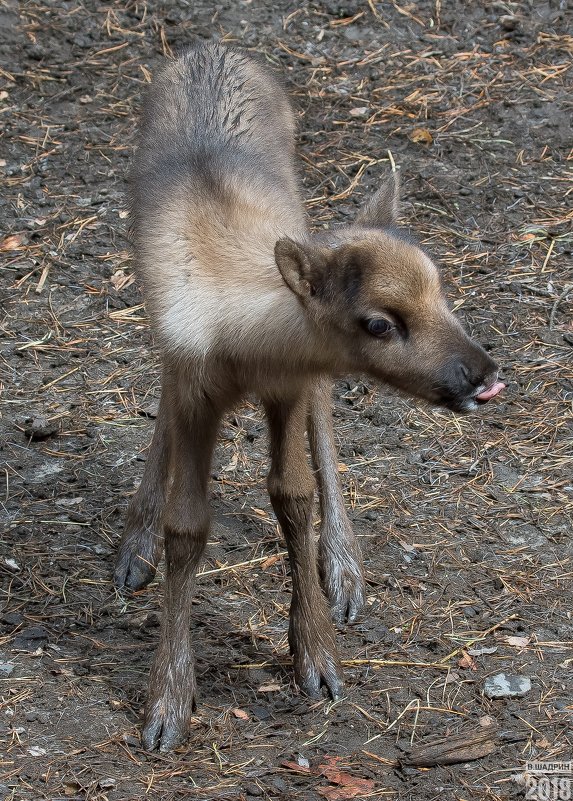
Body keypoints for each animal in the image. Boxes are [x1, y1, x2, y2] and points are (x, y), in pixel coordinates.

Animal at [114, 39, 502, 752]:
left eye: (441, 285)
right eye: (378, 322)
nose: (484, 376)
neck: (242, 343)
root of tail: (211, 47)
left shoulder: (288, 387)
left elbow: (293, 496)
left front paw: (317, 657)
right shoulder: (193, 386)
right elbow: (188, 527)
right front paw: (167, 704)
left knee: (323, 422)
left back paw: (345, 570)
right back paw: (135, 546)